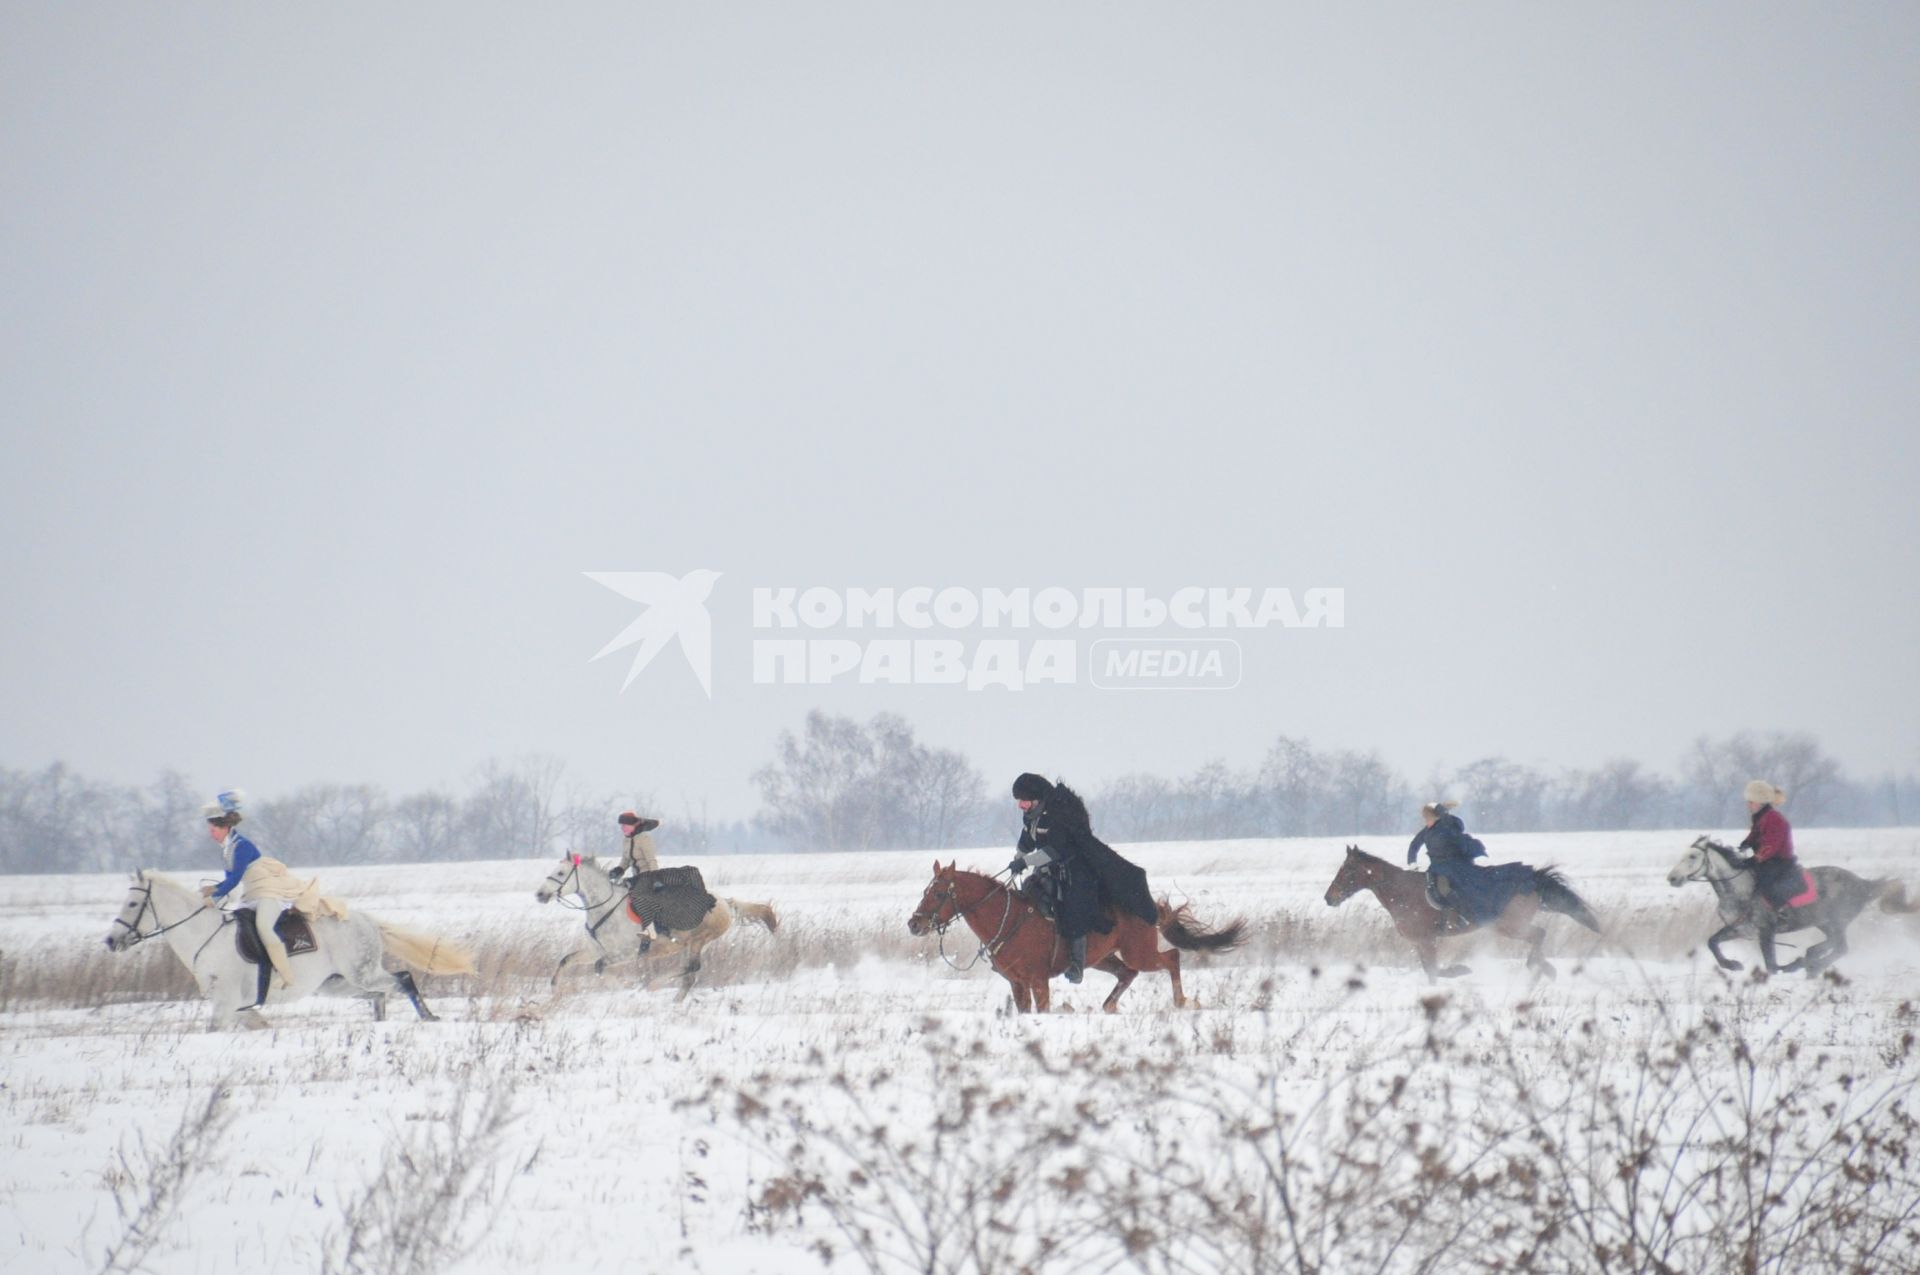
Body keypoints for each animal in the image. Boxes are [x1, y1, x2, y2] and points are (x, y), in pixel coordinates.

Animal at [107, 871, 478, 1029]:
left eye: (133, 903)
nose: (110, 941)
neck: (204, 935)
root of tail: (365, 920)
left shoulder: (226, 1001)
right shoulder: (232, 1004)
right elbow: (251, 1022)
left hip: (363, 972)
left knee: (402, 979)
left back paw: (428, 1017)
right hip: (338, 983)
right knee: (379, 995)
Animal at [533, 852, 771, 998]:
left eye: (560, 873)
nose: (539, 895)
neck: (606, 907)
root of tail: (724, 901)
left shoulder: (627, 952)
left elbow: (599, 968)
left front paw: (624, 988)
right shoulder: (597, 950)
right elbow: (567, 960)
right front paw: (555, 990)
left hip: (699, 940)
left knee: (691, 968)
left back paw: (654, 985)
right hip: (693, 945)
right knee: (690, 974)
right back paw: (673, 1000)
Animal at [902, 860, 1244, 1013]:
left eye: (939, 894)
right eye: (926, 891)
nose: (914, 924)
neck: (1007, 919)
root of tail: (1147, 907)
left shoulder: (1038, 981)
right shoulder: (1017, 984)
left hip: (1139, 952)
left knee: (1170, 958)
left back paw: (1182, 1001)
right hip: (1102, 958)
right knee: (1127, 973)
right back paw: (1108, 1007)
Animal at [1320, 844, 1605, 983]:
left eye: (1347, 870)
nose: (1328, 898)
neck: (1401, 893)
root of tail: (1533, 879)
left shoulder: (1427, 940)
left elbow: (1434, 971)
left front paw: (1461, 971)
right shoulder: (1422, 943)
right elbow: (1430, 971)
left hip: (1510, 926)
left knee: (1539, 934)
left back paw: (1541, 967)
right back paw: (1544, 969)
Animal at [1658, 837, 1912, 975]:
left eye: (1692, 856)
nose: (1672, 878)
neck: (1740, 889)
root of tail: (1863, 883)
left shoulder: (1766, 931)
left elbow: (1771, 964)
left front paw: (1782, 968)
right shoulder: (1740, 929)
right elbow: (1712, 942)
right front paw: (1732, 964)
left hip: (1836, 921)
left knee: (1841, 948)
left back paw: (1809, 966)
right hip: (1824, 923)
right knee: (1831, 944)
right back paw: (1807, 959)